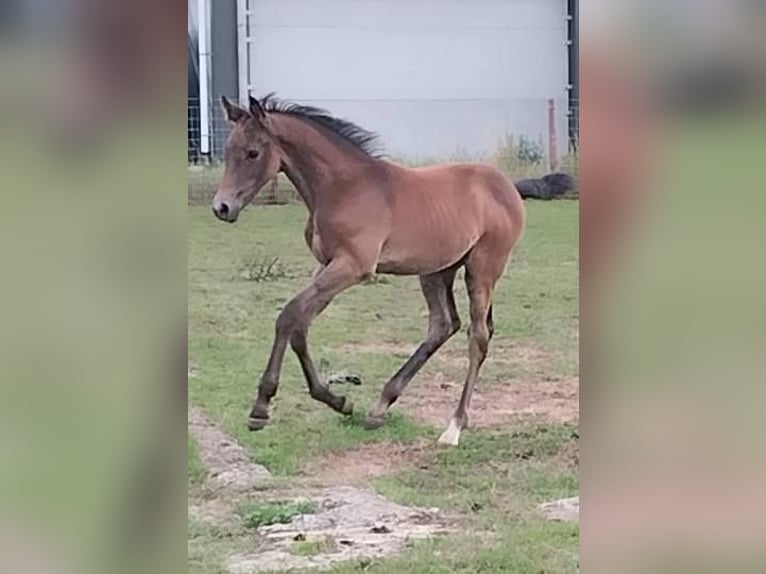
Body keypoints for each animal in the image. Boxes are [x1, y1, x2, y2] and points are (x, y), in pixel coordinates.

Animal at [212, 94, 525, 446]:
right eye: (227, 150)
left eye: (253, 152)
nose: (221, 207)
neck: (344, 188)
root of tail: (506, 186)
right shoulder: (327, 265)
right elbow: (300, 326)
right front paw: (337, 401)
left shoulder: (353, 266)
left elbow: (288, 316)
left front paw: (261, 407)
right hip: (436, 270)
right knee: (443, 325)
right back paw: (380, 406)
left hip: (483, 268)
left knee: (478, 337)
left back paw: (454, 426)